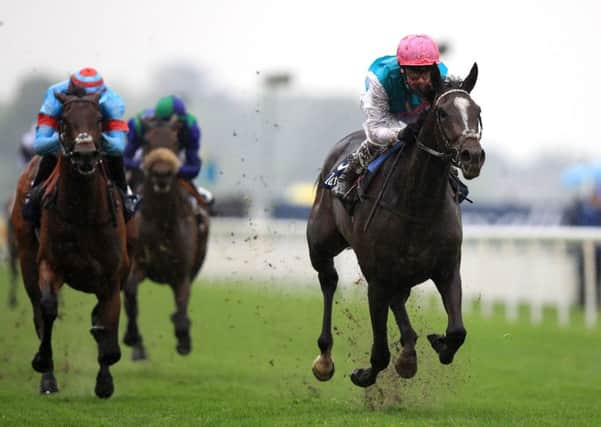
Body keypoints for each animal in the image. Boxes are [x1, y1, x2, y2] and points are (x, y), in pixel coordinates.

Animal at [10, 92, 135, 400]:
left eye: (99, 119)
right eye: (64, 121)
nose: (85, 153)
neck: (84, 211)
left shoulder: (112, 276)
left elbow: (107, 321)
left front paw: (105, 382)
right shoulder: (49, 264)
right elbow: (48, 309)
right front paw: (43, 363)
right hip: (26, 257)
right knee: (38, 312)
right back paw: (48, 380)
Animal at [120, 117, 210, 362]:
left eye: (176, 142)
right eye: (147, 141)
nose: (162, 173)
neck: (162, 221)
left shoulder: (182, 273)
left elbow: (182, 307)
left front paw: (184, 340)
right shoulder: (139, 264)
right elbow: (130, 292)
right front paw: (133, 338)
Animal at [308, 62, 486, 388]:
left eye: (477, 110)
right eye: (442, 112)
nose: (473, 156)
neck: (418, 204)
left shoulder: (447, 269)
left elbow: (457, 331)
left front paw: (437, 343)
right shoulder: (376, 280)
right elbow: (379, 353)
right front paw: (365, 373)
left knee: (399, 299)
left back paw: (409, 349)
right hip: (320, 242)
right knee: (328, 280)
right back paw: (325, 359)